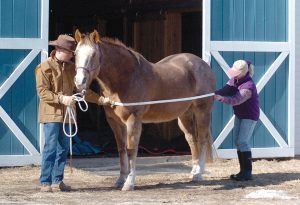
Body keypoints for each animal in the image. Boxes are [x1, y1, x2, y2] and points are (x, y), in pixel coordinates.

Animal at [74, 29, 216, 191]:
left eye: (93, 54)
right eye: (75, 53)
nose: (79, 82)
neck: (126, 78)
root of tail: (203, 65)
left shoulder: (133, 119)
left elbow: (131, 150)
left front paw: (129, 183)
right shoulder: (115, 122)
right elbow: (121, 149)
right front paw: (120, 179)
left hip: (202, 111)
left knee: (202, 139)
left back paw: (199, 173)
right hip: (185, 115)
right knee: (192, 139)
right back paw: (193, 171)